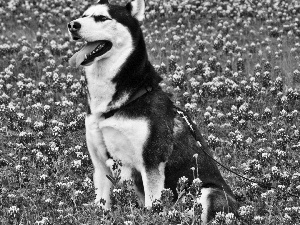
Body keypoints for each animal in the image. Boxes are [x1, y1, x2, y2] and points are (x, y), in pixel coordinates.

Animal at [68, 0, 237, 221]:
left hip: (208, 192)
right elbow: (101, 203)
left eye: (103, 18)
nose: (72, 25)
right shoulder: (100, 164)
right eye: (84, 15)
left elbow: (152, 204)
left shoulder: (151, 162)